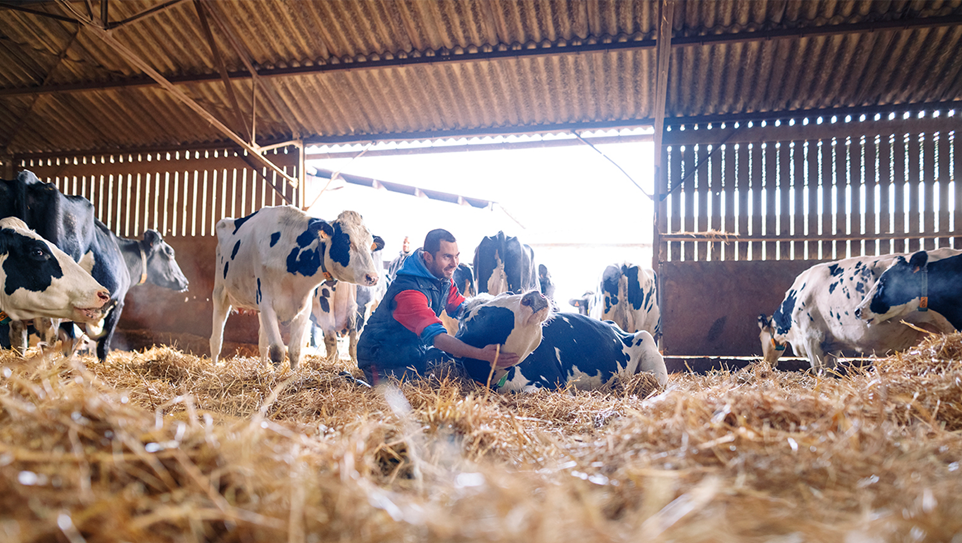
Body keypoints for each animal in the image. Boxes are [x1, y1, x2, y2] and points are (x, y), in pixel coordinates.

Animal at [212, 207, 384, 370]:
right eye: (347, 241)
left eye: (370, 245)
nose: (373, 277)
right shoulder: (266, 303)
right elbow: (278, 350)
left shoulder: (303, 308)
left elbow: (295, 350)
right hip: (220, 293)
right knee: (217, 339)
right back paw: (213, 367)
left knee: (263, 341)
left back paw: (263, 368)